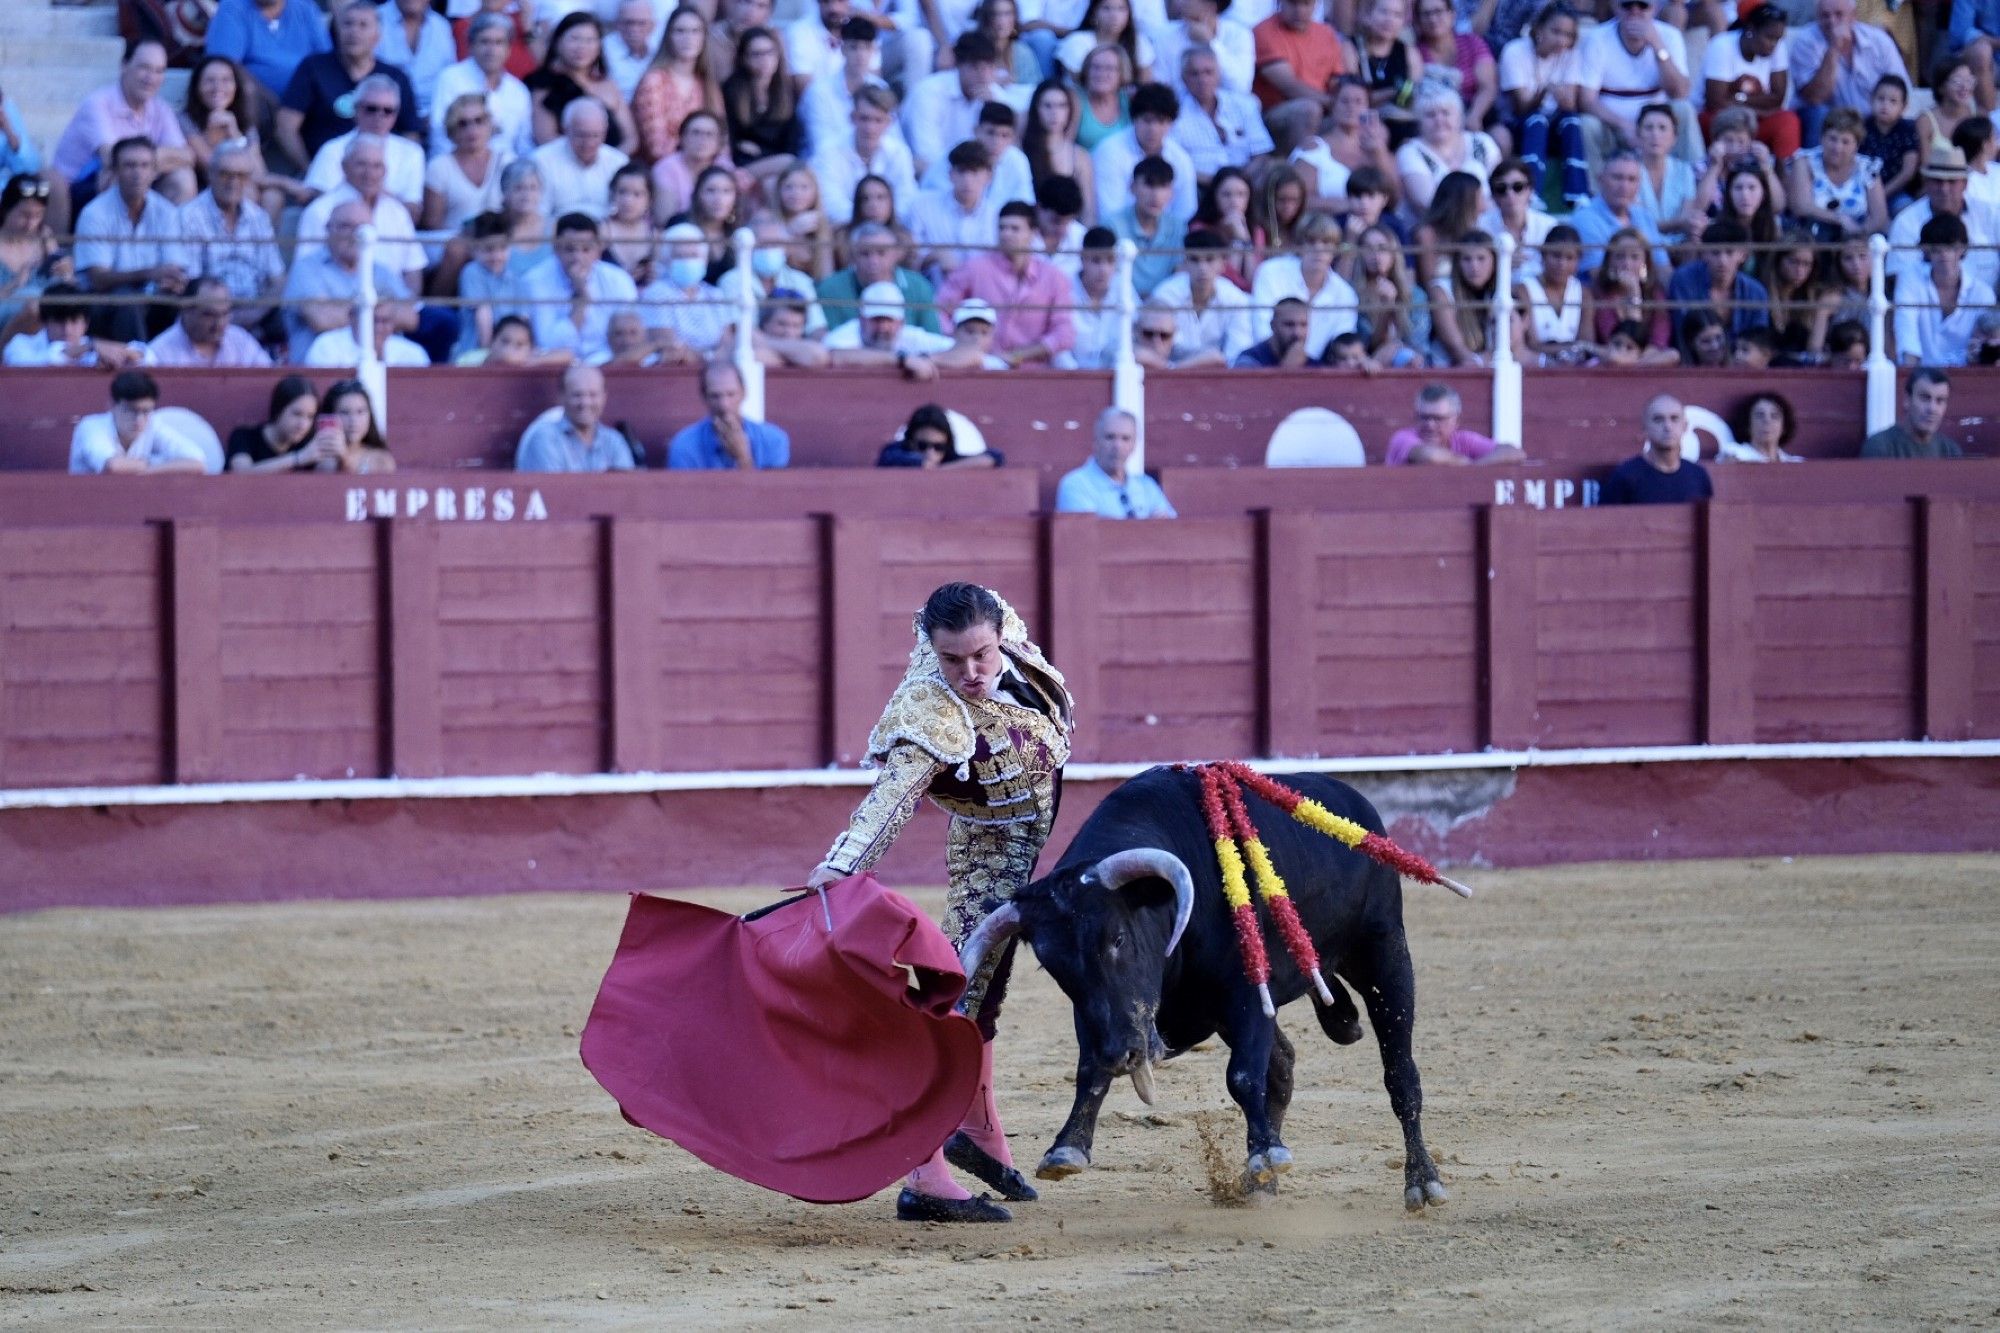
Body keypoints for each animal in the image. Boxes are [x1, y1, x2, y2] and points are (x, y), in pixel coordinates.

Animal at [960, 756, 1448, 1200]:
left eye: (1118, 937)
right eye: (1054, 965)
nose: (1125, 1055)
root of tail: (1357, 808)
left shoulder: (1247, 991)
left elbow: (1243, 1075)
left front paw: (1266, 1152)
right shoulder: (1101, 1013)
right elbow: (1090, 1068)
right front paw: (1067, 1149)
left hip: (1383, 950)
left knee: (1401, 1073)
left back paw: (1423, 1182)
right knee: (1283, 1064)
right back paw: (1259, 1184)